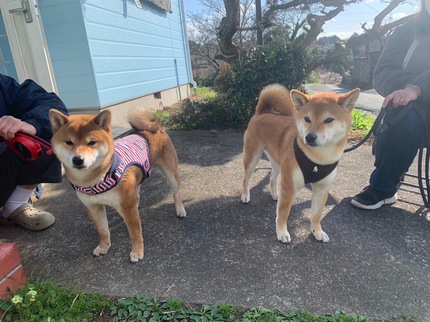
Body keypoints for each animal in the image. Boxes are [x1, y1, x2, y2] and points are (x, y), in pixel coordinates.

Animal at [49, 108, 186, 262]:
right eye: (68, 142)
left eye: (92, 142)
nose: (78, 160)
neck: (95, 179)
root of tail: (154, 126)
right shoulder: (94, 208)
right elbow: (103, 231)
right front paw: (104, 247)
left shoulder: (127, 206)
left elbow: (134, 233)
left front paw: (137, 251)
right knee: (137, 195)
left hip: (170, 172)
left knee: (176, 192)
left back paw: (180, 210)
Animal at [242, 84, 360, 243]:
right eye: (307, 119)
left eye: (329, 119)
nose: (309, 137)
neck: (319, 159)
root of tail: (262, 112)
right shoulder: (289, 185)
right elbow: (283, 212)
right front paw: (282, 232)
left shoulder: (321, 189)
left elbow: (316, 214)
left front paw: (317, 231)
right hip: (253, 156)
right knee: (246, 178)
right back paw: (245, 195)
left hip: (278, 162)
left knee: (272, 177)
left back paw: (275, 194)